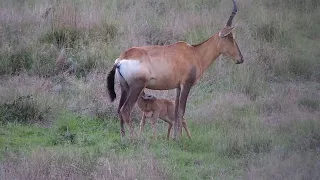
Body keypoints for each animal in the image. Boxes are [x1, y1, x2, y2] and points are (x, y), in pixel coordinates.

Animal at [106, 0, 244, 139]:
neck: (194, 53)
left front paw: (175, 137)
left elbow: (177, 110)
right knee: (125, 110)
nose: (240, 59)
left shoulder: (177, 87)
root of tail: (121, 59)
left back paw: (123, 137)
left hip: (125, 87)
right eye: (230, 37)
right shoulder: (186, 84)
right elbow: (182, 110)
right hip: (137, 86)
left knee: (119, 109)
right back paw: (135, 137)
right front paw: (178, 139)